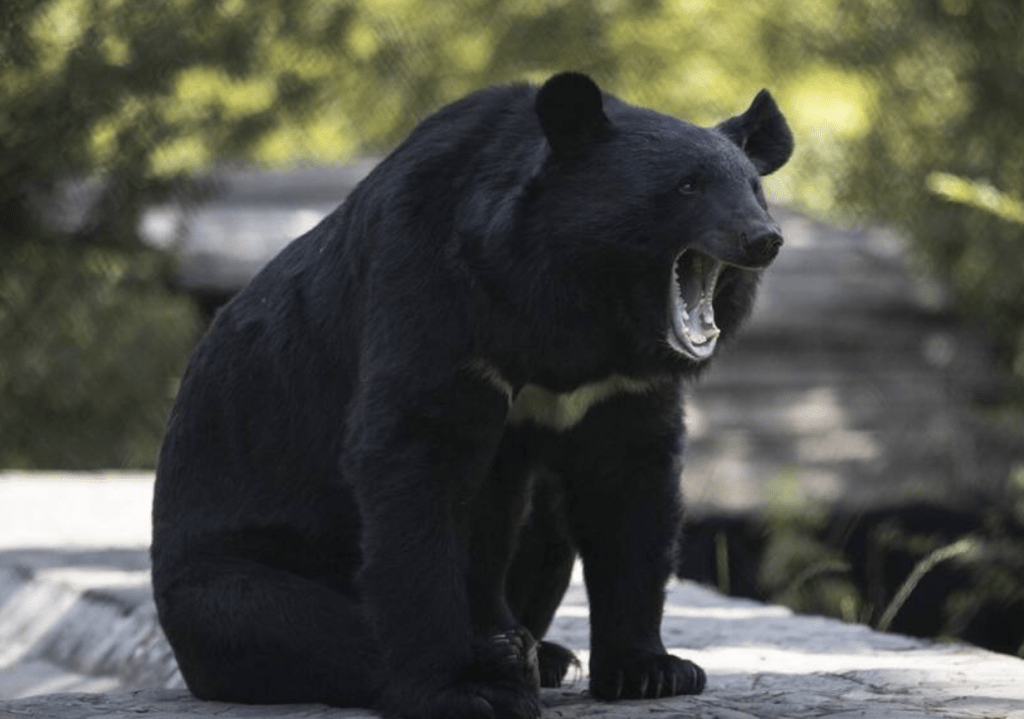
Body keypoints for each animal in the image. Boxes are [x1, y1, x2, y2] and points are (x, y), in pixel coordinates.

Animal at [151, 71, 793, 719]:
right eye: (688, 186)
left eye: (754, 190)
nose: (763, 239)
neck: (580, 306)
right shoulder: (435, 296)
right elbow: (414, 464)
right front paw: (457, 688)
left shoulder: (619, 388)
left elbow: (630, 491)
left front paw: (655, 670)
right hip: (225, 570)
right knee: (292, 625)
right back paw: (501, 661)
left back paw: (540, 652)